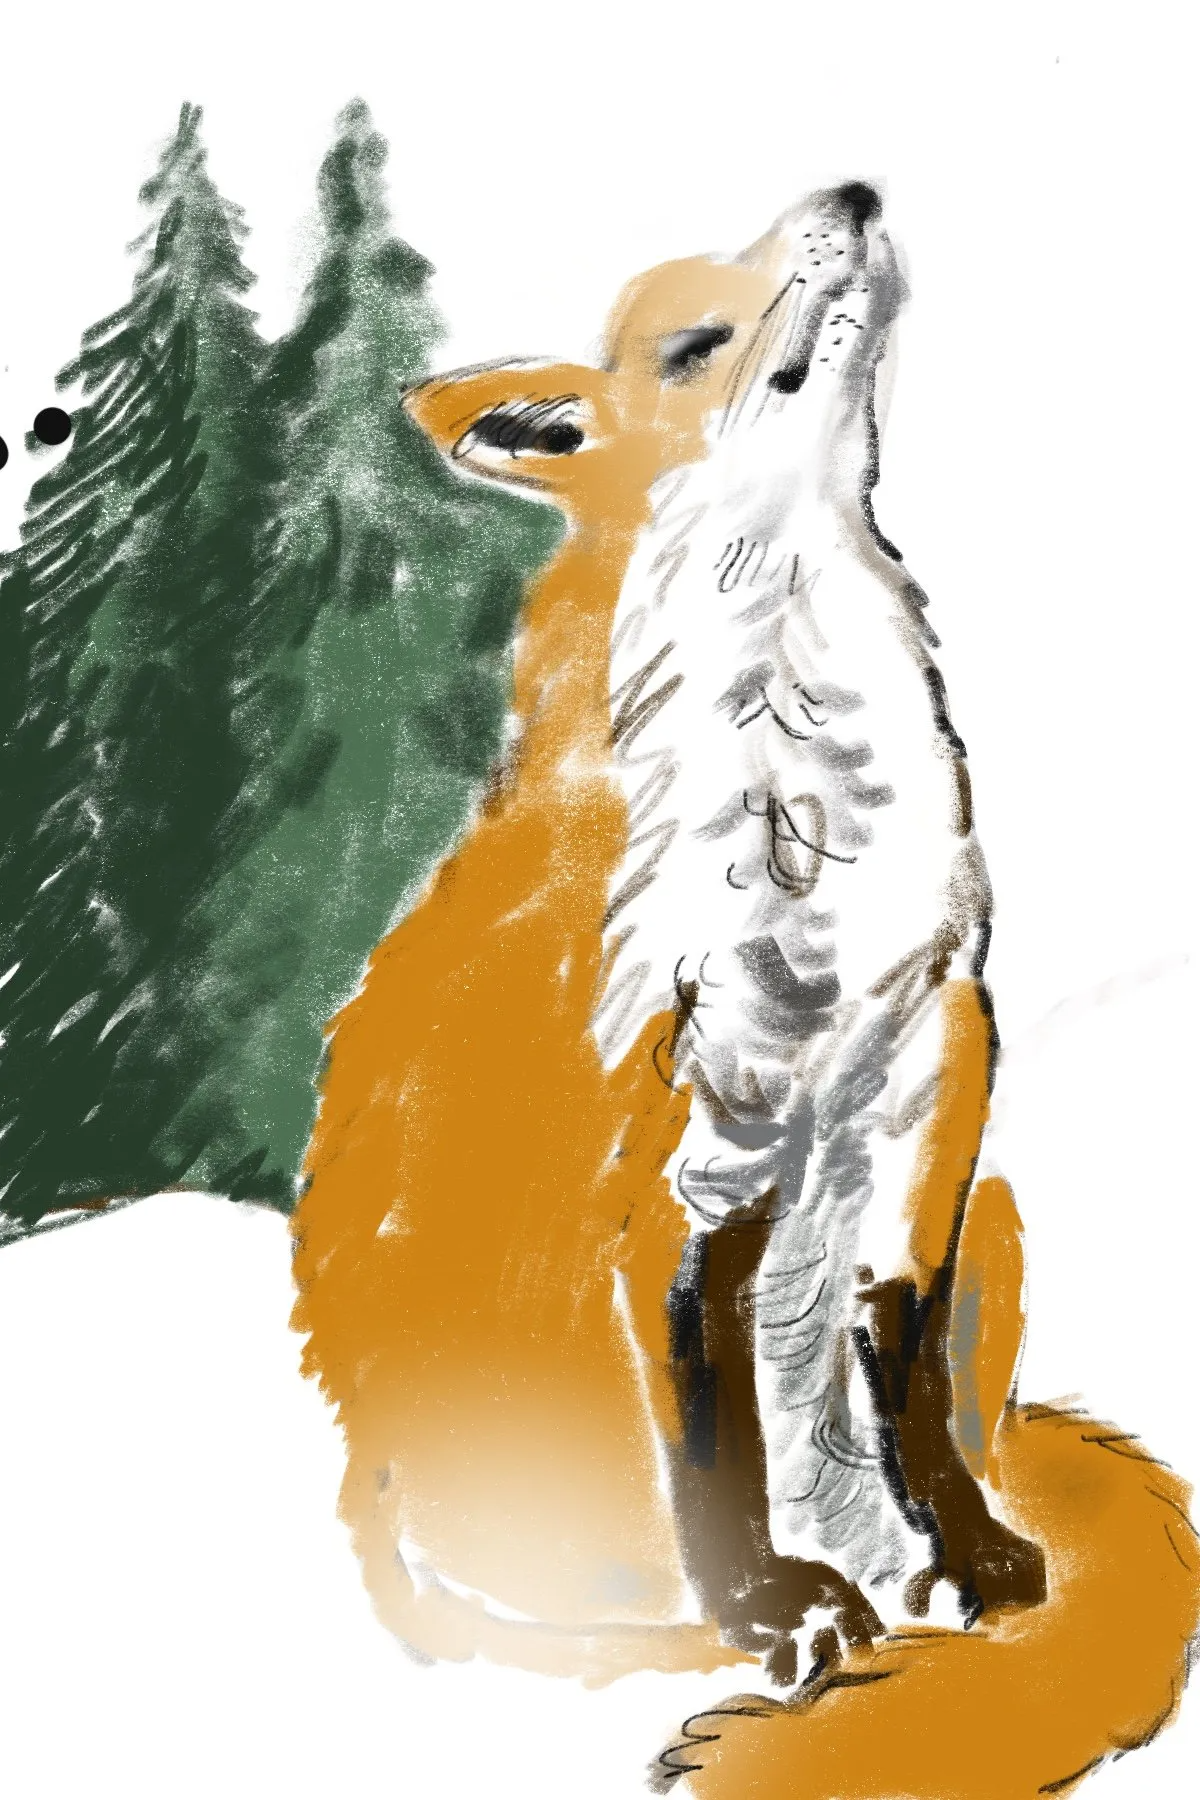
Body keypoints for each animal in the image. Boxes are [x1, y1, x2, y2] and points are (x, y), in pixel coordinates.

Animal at [290, 184, 1200, 1793]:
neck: (802, 804)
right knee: (544, 1611)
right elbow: (709, 1419)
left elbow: (896, 1358)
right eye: (695, 341)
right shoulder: (680, 1131)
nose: (854, 194)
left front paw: (969, 1562)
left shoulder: (930, 1061)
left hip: (1001, 1209)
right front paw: (776, 1606)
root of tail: (364, 1472)